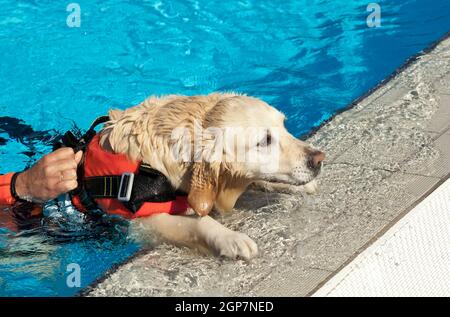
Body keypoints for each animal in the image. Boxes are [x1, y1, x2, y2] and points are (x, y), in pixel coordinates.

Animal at [97, 92, 324, 260]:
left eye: (284, 125)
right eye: (265, 140)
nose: (319, 159)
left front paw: (299, 185)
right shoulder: (144, 222)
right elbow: (198, 222)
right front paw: (230, 238)